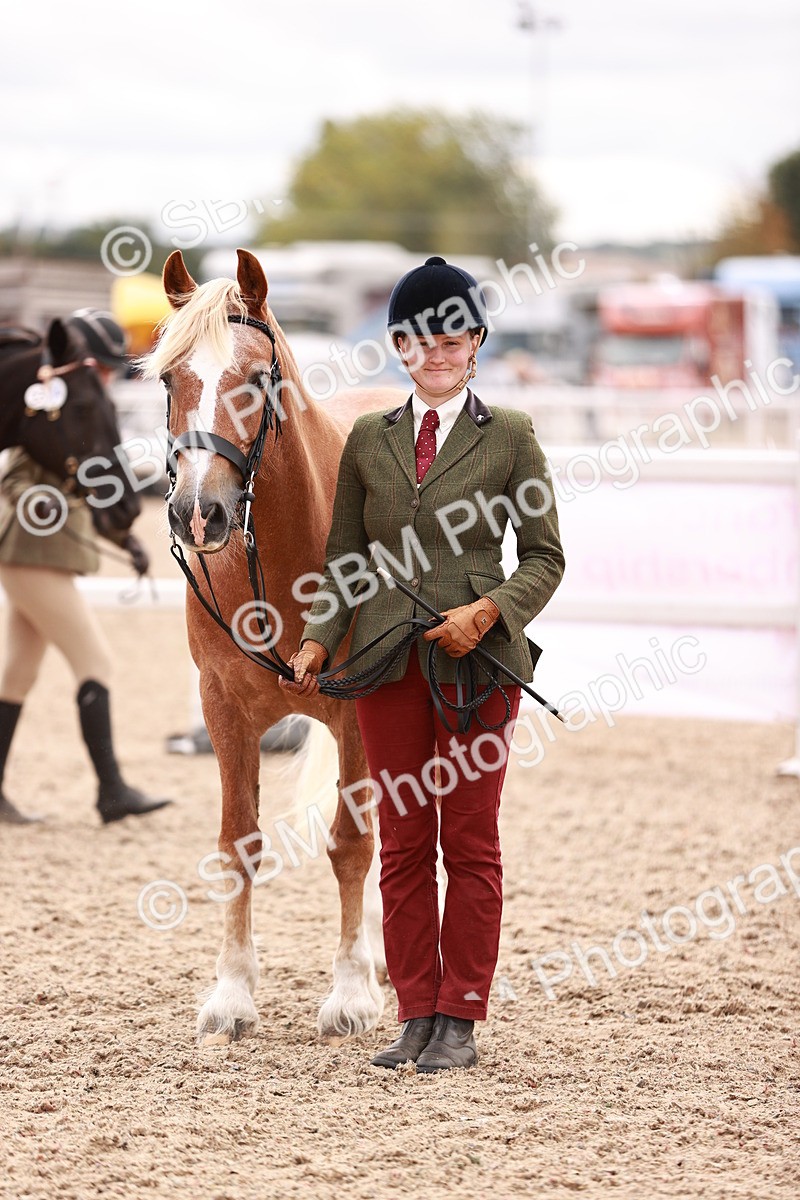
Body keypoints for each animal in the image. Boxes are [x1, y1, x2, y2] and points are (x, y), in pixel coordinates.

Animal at [143, 248, 395, 1045]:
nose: (199, 513)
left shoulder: (358, 713)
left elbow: (351, 844)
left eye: (256, 379)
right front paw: (231, 994)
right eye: (170, 379)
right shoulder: (224, 709)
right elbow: (237, 846)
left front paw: (350, 994)